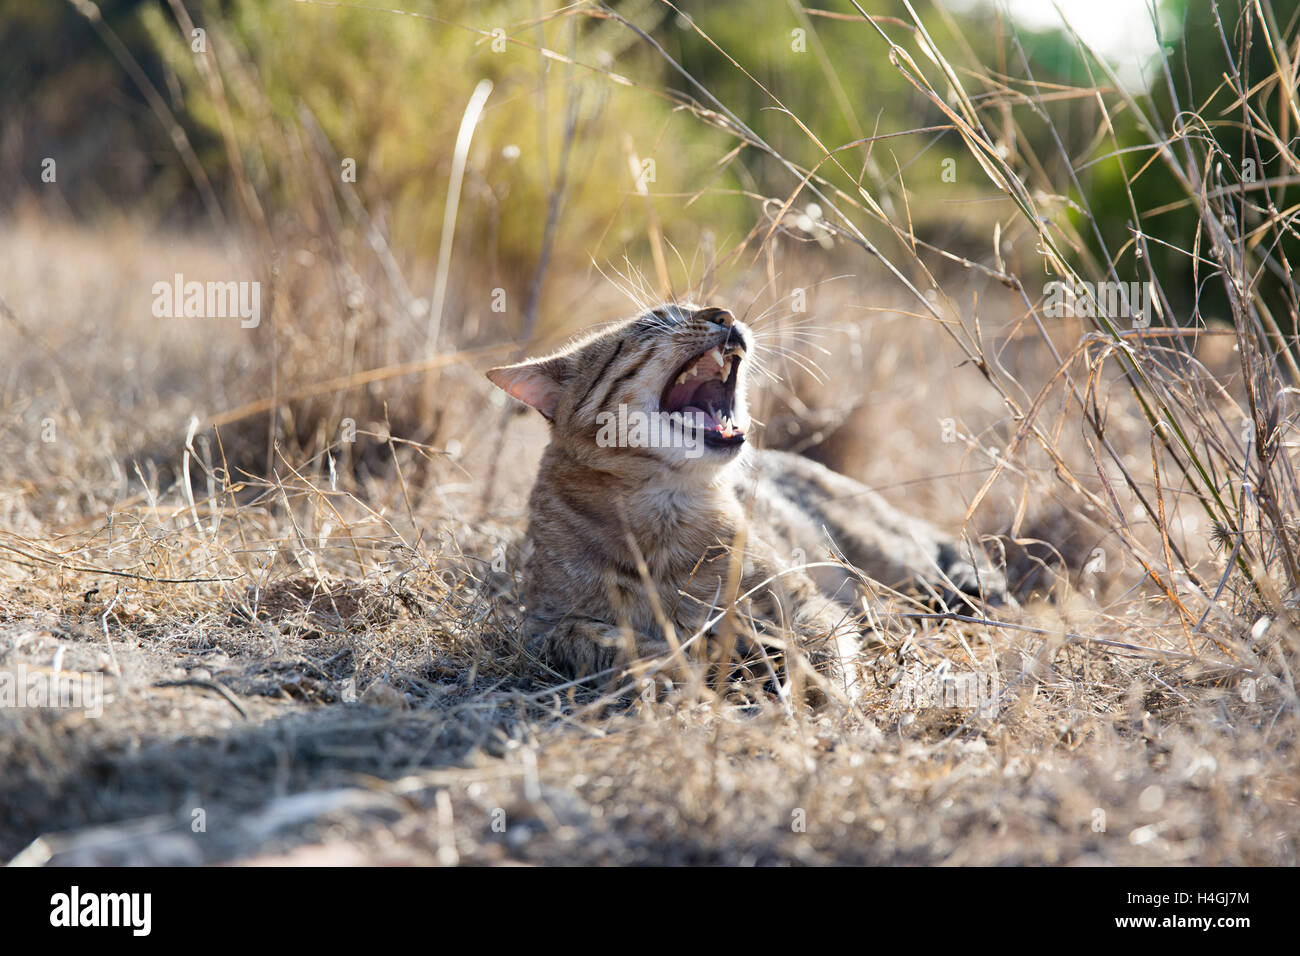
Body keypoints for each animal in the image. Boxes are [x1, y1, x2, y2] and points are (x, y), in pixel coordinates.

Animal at [488, 303, 1003, 697]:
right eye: (653, 323)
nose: (723, 313)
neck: (664, 508)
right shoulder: (541, 626)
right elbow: (592, 639)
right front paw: (671, 665)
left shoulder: (803, 599)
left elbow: (820, 651)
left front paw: (823, 704)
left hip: (894, 560)